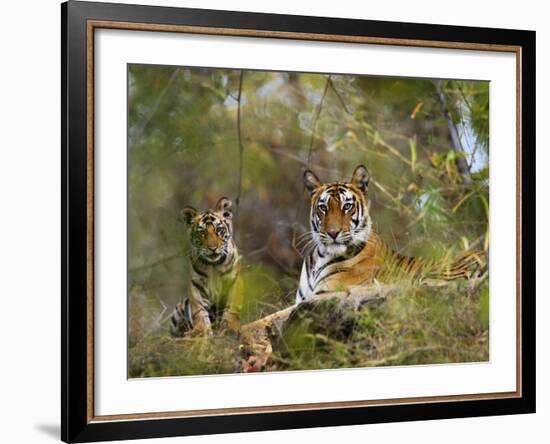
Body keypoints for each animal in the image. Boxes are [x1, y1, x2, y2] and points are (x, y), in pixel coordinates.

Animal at [170, 198, 244, 336]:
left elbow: (232, 307)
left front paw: (230, 327)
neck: (213, 265)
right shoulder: (196, 285)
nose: (213, 248)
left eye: (219, 230)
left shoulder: (234, 281)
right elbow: (199, 310)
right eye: (202, 233)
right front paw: (200, 330)